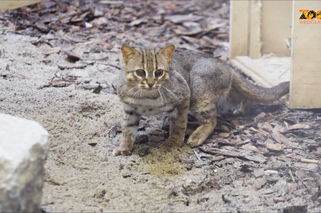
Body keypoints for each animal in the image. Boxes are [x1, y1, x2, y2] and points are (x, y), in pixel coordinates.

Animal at [112, 45, 288, 156]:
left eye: (159, 72)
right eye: (140, 72)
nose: (150, 83)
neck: (146, 96)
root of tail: (227, 65)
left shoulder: (183, 97)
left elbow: (178, 126)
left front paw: (172, 143)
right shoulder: (129, 109)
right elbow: (127, 130)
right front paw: (124, 147)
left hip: (198, 89)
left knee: (212, 120)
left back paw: (196, 134)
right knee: (241, 97)